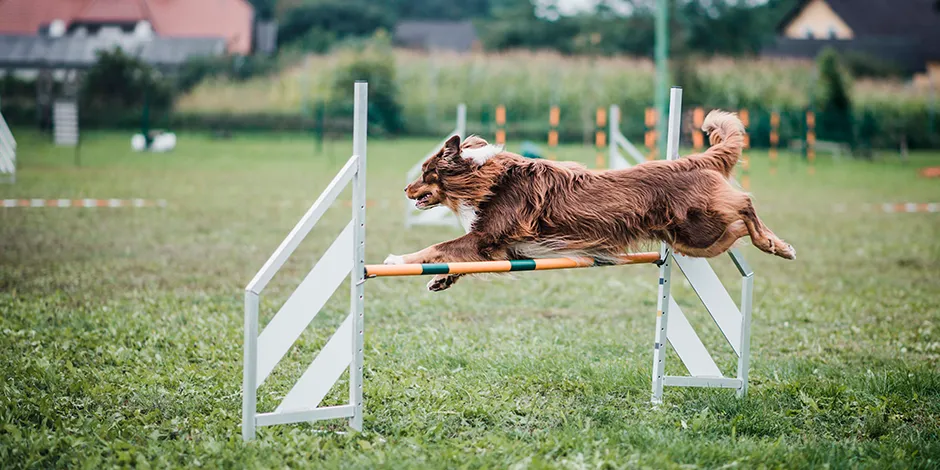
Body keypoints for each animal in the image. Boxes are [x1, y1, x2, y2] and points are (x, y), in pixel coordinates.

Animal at [384, 111, 792, 292]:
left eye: (426, 172)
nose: (403, 190)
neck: (490, 179)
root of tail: (691, 160)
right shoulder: (504, 249)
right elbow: (457, 257)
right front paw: (442, 279)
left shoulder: (488, 236)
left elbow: (438, 246)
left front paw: (397, 259)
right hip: (694, 241)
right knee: (736, 228)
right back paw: (773, 244)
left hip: (701, 223)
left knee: (745, 202)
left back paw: (775, 244)